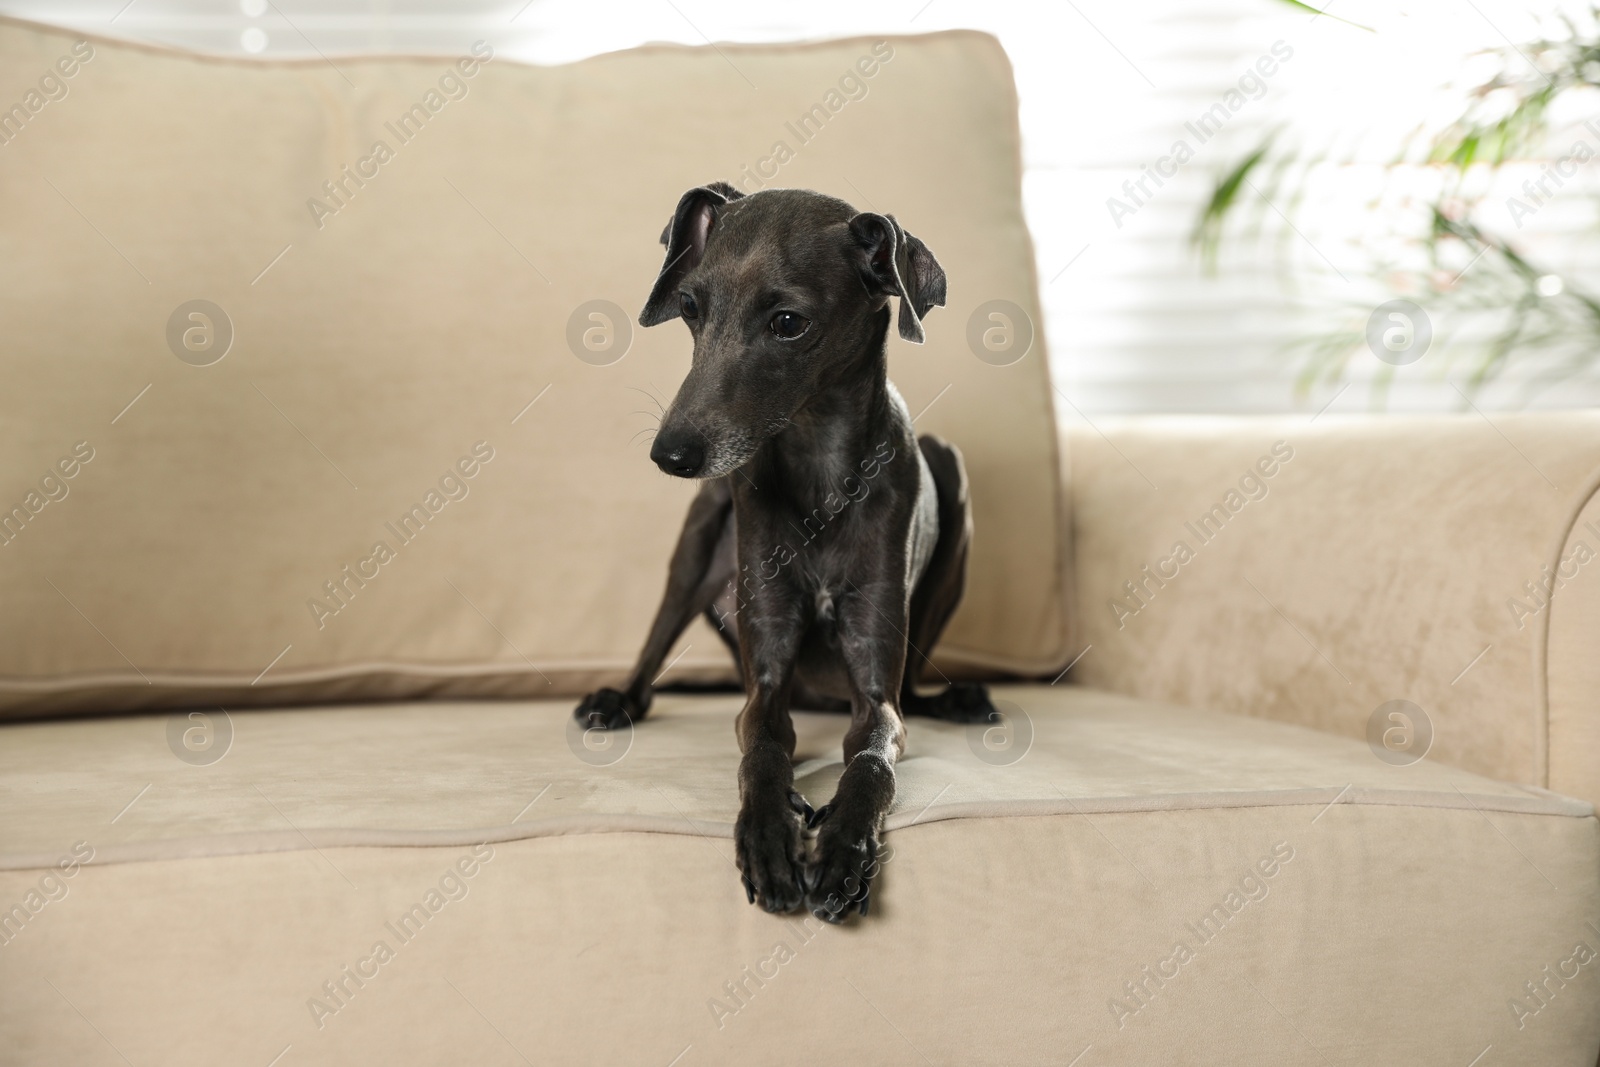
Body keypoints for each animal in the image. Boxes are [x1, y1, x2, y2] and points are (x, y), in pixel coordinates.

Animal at [576, 183, 992, 921]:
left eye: (789, 322)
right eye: (690, 307)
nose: (670, 455)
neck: (822, 472)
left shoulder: (877, 694)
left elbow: (874, 759)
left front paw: (844, 848)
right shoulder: (765, 678)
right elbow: (762, 750)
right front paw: (770, 837)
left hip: (950, 471)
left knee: (917, 688)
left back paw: (961, 698)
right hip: (703, 531)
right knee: (653, 653)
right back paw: (616, 699)